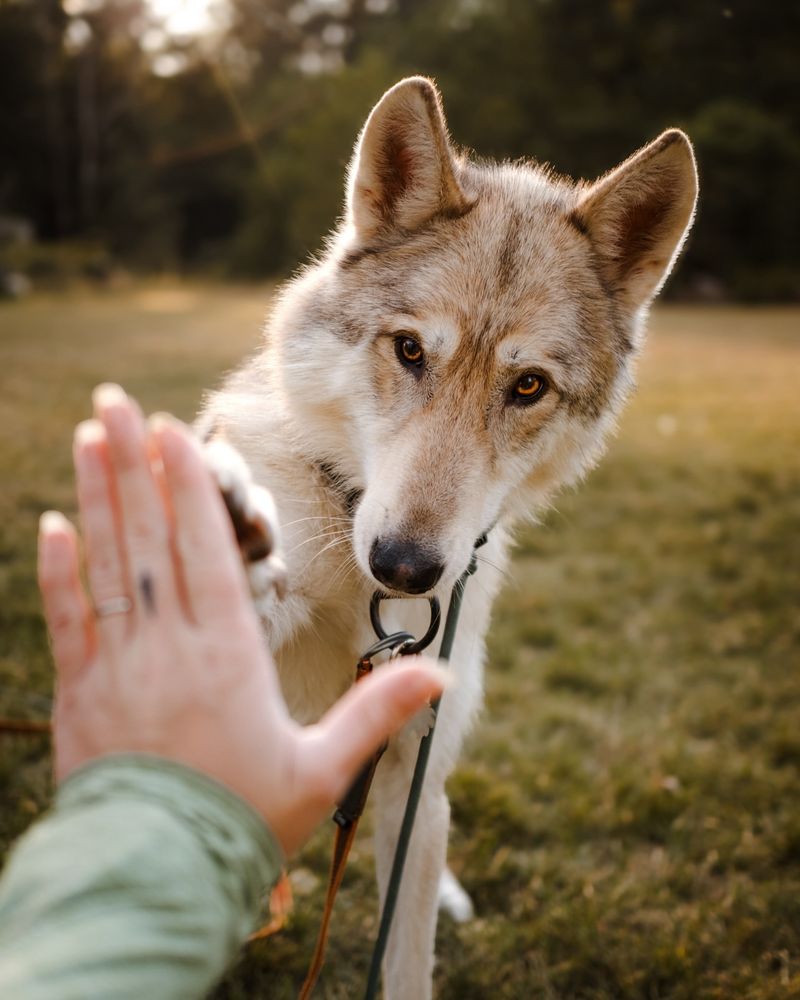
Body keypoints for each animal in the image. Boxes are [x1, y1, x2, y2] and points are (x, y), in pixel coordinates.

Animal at [195, 78, 692, 1000]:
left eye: (527, 386)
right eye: (409, 350)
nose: (404, 566)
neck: (368, 608)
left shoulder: (408, 785)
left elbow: (406, 964)